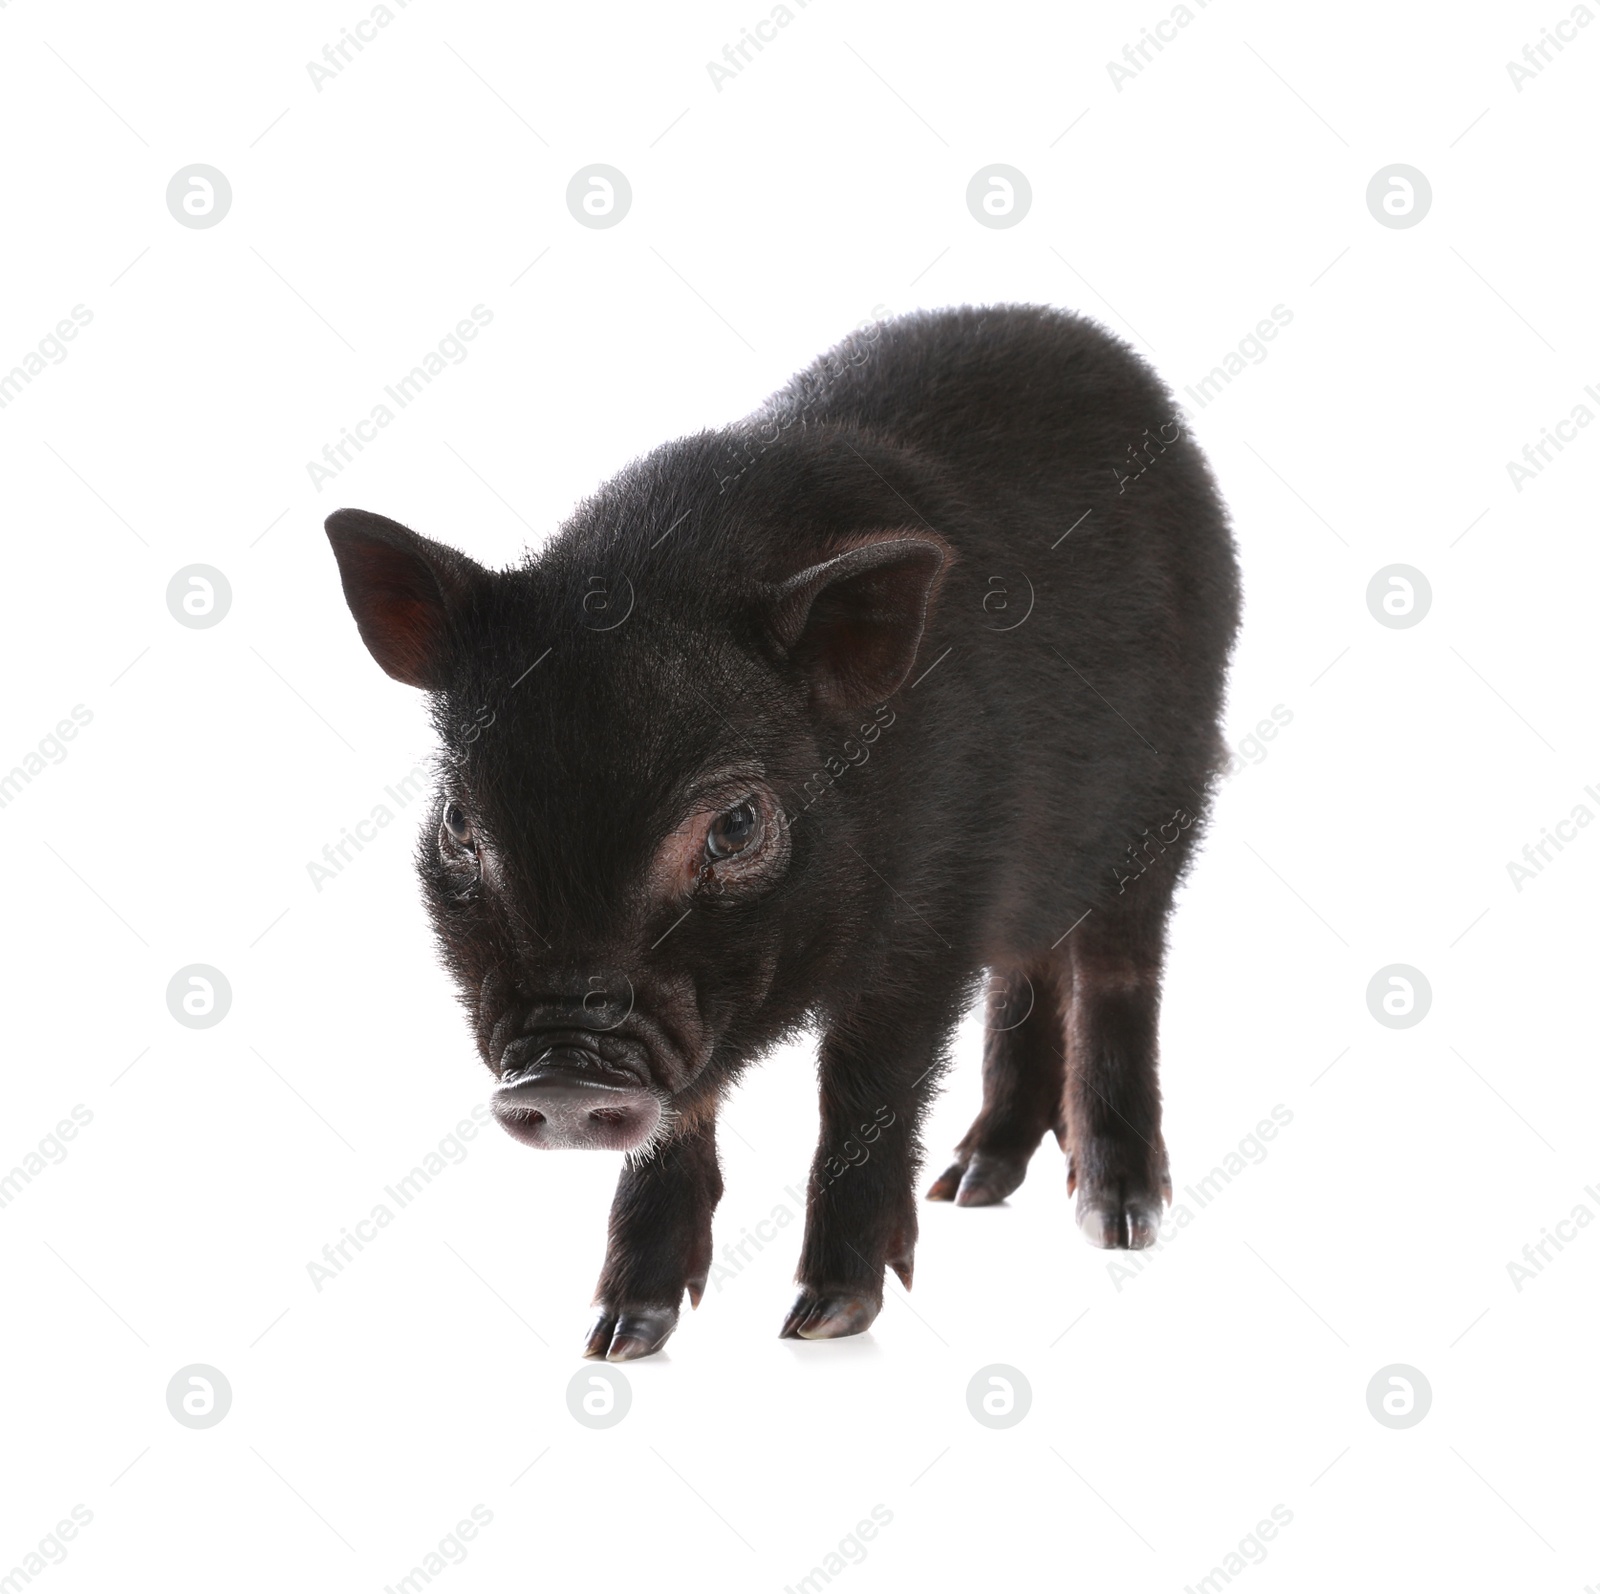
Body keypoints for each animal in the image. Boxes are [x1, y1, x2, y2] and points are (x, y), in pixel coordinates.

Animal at [324, 308, 1241, 1357]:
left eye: (735, 825)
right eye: (460, 821)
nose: (560, 1075)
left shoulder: (932, 919)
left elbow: (863, 1090)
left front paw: (821, 1322)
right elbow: (681, 1116)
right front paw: (621, 1336)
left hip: (1166, 802)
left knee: (1119, 972)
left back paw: (1118, 1219)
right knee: (1030, 971)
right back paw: (971, 1185)